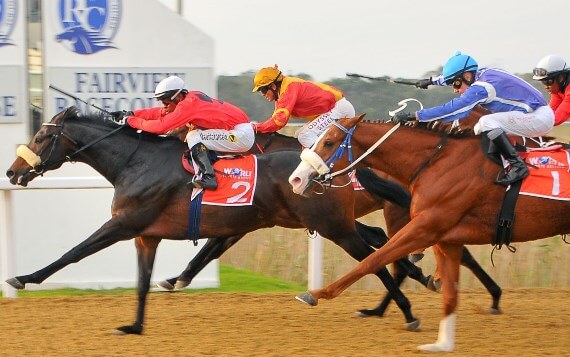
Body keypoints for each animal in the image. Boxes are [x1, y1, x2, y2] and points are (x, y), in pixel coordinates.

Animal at [288, 115, 568, 352]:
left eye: (329, 142)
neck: (438, 162)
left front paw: (315, 294)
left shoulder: (425, 227)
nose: (296, 179)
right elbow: (450, 293)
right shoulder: (446, 238)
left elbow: (372, 260)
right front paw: (442, 344)